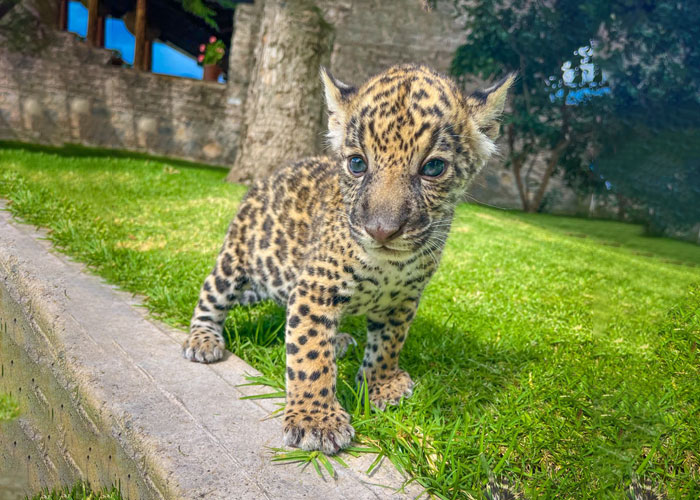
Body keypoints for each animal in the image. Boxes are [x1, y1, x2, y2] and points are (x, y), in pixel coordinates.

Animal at [182, 64, 513, 455]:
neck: (390, 267)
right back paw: (203, 340)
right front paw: (315, 420)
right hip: (237, 260)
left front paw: (381, 384)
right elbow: (309, 354)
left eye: (433, 168)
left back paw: (339, 340)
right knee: (210, 296)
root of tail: (266, 179)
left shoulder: (404, 298)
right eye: (357, 163)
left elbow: (388, 343)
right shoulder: (314, 288)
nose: (382, 230)